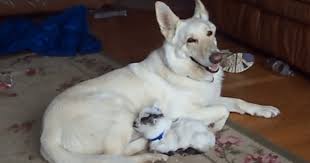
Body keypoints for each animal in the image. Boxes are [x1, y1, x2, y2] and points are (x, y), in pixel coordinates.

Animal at [40, 0, 280, 162]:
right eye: (191, 40)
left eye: (210, 33)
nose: (217, 58)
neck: (185, 72)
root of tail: (46, 136)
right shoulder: (185, 110)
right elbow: (223, 110)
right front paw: (217, 126)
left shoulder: (211, 98)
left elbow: (237, 102)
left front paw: (263, 109)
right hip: (119, 110)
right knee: (115, 156)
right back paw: (147, 150)